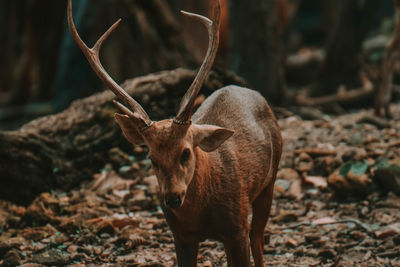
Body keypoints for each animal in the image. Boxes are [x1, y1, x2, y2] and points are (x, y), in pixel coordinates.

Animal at [68, 1, 282, 266]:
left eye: (186, 152)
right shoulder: (181, 236)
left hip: (269, 181)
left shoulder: (237, 227)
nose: (172, 198)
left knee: (258, 238)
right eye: (151, 158)